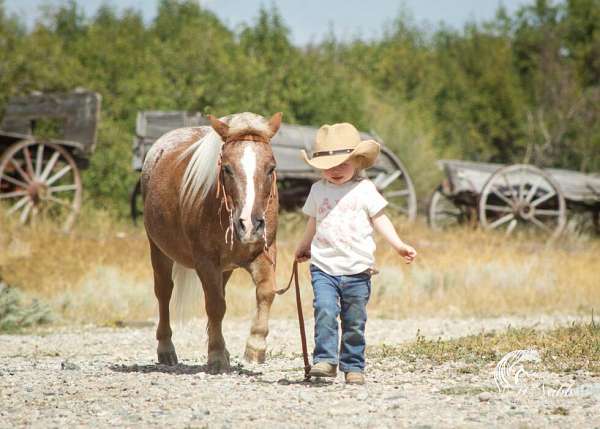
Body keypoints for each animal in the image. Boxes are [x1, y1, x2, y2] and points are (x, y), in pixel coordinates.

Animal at [141, 111, 282, 372]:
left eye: (271, 168)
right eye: (226, 168)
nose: (249, 225)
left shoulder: (264, 253)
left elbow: (266, 292)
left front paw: (255, 348)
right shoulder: (206, 261)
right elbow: (216, 306)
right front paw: (216, 355)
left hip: (225, 268)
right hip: (158, 250)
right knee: (164, 293)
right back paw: (166, 349)